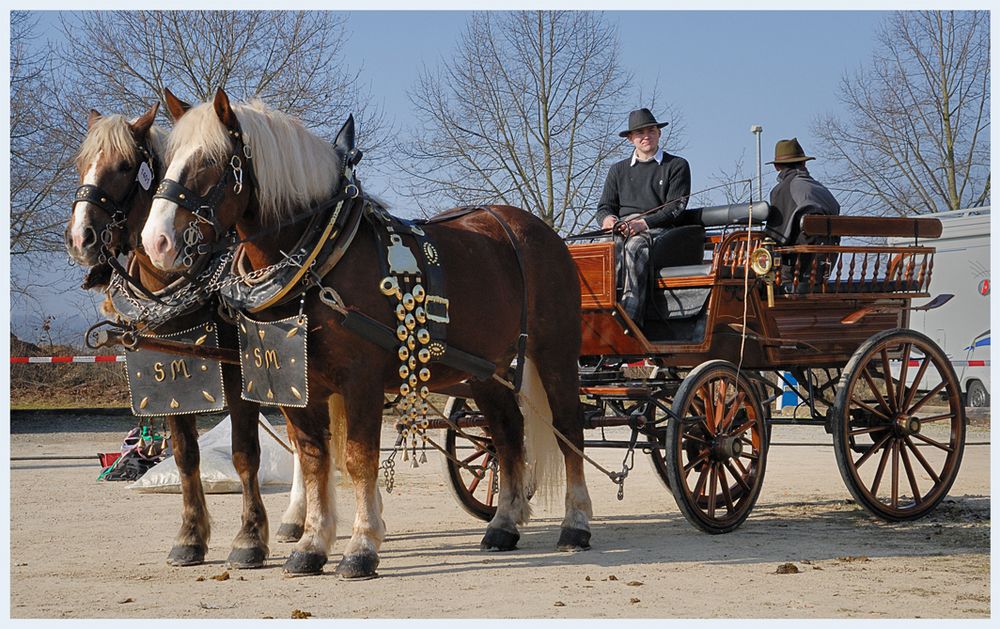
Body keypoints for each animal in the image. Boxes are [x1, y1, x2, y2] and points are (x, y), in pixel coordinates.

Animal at [65, 104, 282, 568]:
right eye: (80, 163)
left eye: (125, 165)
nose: (80, 237)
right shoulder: (169, 381)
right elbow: (185, 454)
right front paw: (190, 536)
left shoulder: (239, 378)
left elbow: (244, 453)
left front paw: (250, 538)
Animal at [141, 89, 592, 580]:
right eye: (165, 162)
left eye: (211, 161)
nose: (155, 242)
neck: (320, 258)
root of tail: (538, 230)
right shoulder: (296, 386)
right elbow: (315, 460)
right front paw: (311, 545)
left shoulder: (361, 381)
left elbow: (359, 459)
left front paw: (360, 547)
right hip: (485, 369)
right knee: (507, 434)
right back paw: (503, 526)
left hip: (555, 350)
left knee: (569, 428)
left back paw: (575, 525)